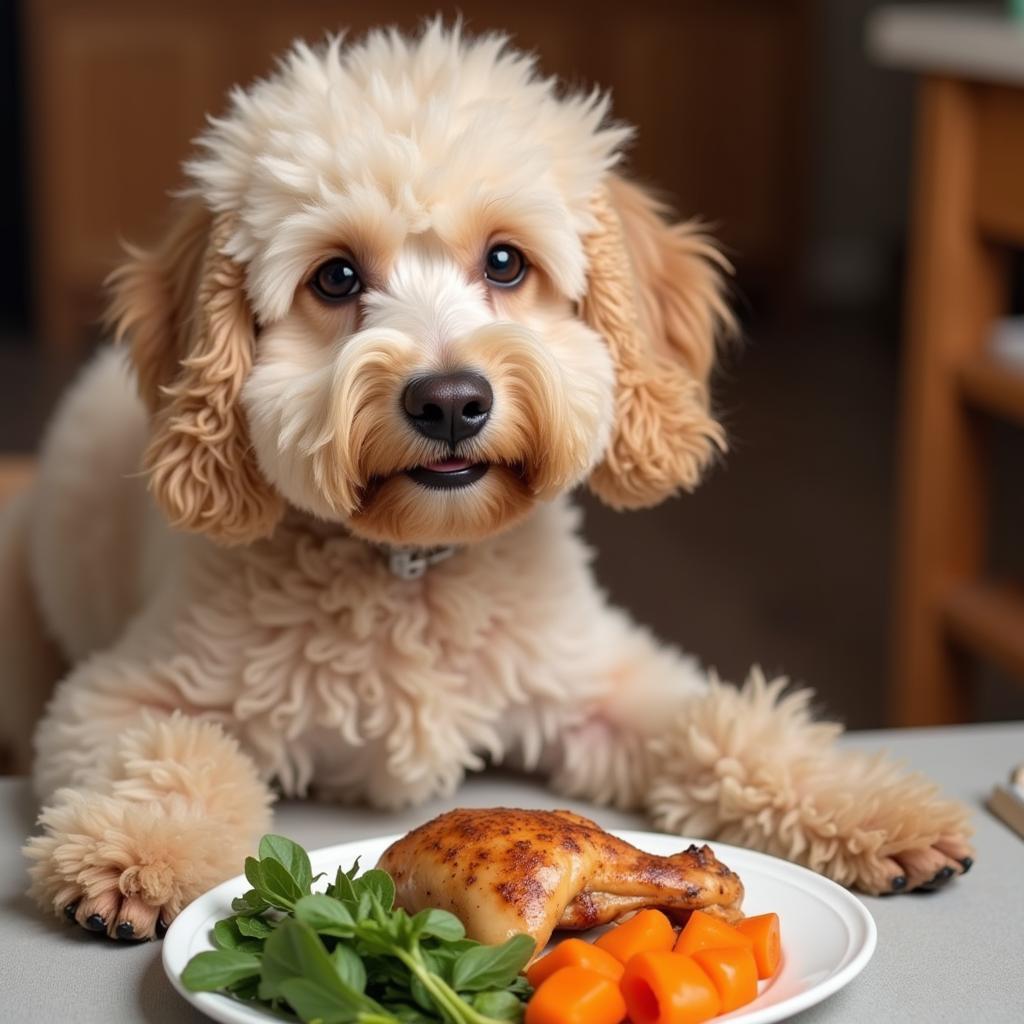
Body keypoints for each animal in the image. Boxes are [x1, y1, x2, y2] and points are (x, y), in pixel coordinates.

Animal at [2, 22, 966, 942]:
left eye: (506, 262)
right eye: (336, 276)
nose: (451, 402)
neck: (416, 564)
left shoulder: (607, 687)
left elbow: (728, 726)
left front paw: (872, 807)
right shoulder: (120, 694)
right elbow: (167, 754)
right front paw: (135, 857)